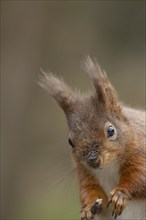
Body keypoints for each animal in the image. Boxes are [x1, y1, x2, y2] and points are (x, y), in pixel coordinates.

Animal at [39, 56, 146, 218]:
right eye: (70, 141)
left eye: (111, 130)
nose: (92, 160)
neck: (108, 168)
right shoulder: (85, 173)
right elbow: (89, 191)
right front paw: (88, 208)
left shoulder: (141, 153)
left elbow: (140, 178)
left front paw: (120, 195)